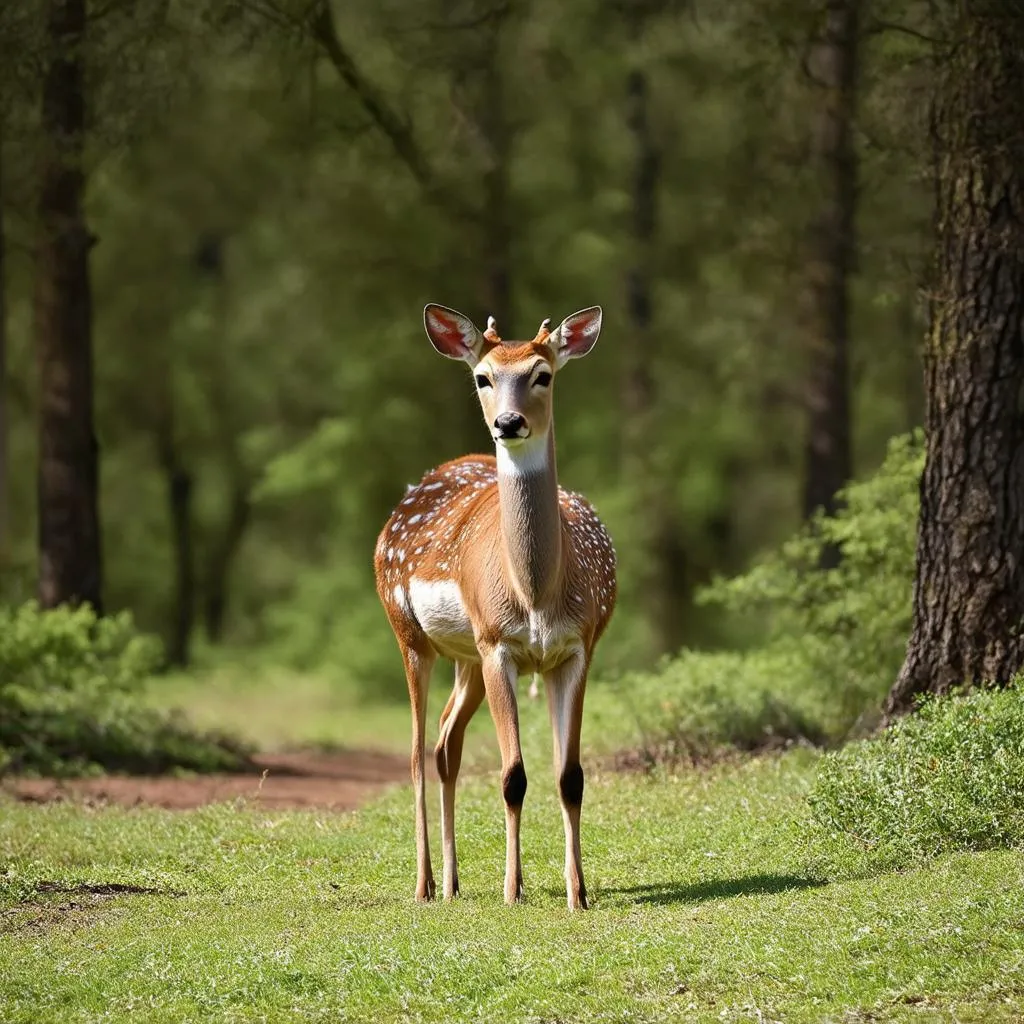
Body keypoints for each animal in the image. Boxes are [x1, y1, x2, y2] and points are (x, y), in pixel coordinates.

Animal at [376, 303, 614, 913]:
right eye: (483, 377)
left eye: (542, 374)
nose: (508, 422)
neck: (535, 595)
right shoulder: (498, 643)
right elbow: (513, 776)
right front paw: (512, 890)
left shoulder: (577, 647)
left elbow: (570, 775)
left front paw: (578, 893)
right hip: (410, 633)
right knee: (415, 751)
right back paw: (424, 884)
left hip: (467, 658)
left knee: (445, 742)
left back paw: (453, 883)